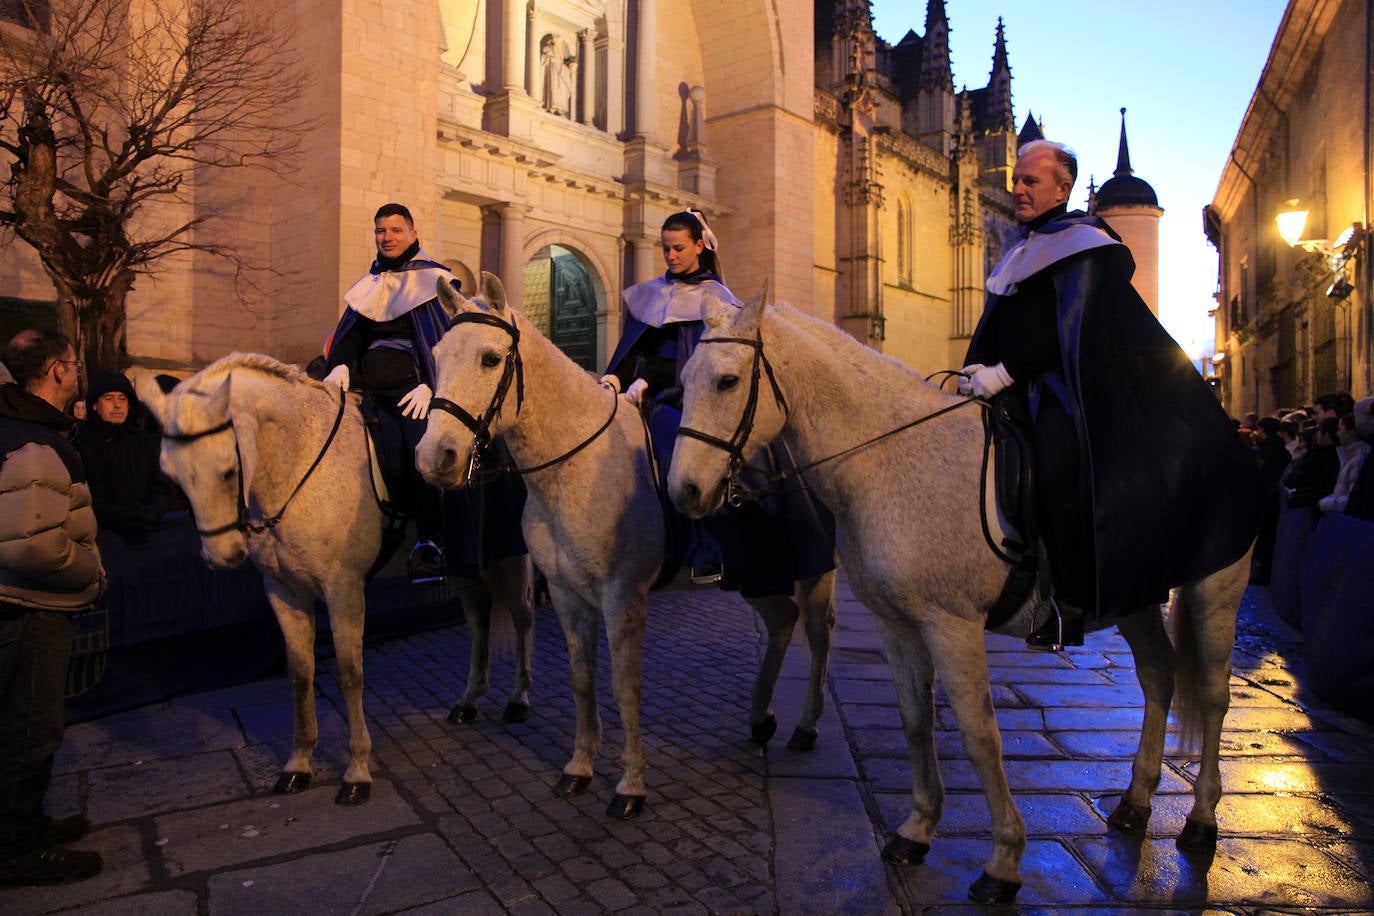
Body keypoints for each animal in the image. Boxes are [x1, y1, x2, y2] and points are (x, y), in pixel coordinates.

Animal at [131, 354, 533, 807]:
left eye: (229, 469)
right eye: (170, 474)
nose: (223, 556)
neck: (298, 462)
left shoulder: (344, 592)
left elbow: (349, 674)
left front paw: (356, 772)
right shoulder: (284, 592)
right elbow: (299, 674)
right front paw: (298, 765)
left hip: (511, 552)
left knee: (521, 615)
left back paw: (518, 699)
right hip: (466, 560)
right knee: (479, 617)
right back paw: (468, 701)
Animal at [412, 271, 829, 818]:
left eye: (490, 358)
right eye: (438, 354)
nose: (434, 457)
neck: (575, 467)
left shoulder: (622, 596)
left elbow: (624, 686)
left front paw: (630, 786)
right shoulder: (567, 595)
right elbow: (582, 678)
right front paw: (579, 767)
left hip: (815, 568)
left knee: (818, 633)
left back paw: (806, 726)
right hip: (753, 571)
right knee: (783, 620)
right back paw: (761, 719)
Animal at [665, 292, 1258, 900]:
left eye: (728, 381)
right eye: (682, 383)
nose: (683, 491)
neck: (893, 455)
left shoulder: (952, 625)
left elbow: (979, 735)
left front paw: (1003, 860)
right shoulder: (896, 623)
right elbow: (915, 720)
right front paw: (917, 829)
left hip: (1216, 586)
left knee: (1212, 693)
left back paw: (1201, 819)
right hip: (1133, 597)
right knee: (1159, 673)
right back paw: (1137, 802)